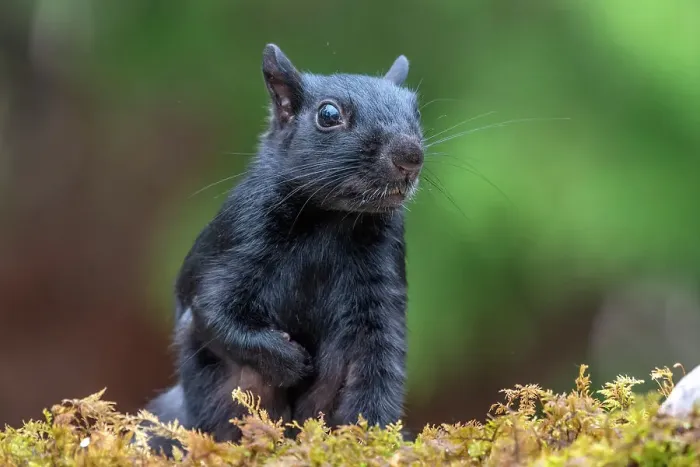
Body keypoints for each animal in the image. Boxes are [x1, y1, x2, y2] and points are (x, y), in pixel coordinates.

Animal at [144, 43, 424, 455]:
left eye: (416, 111)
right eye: (328, 115)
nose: (410, 156)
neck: (332, 219)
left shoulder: (381, 289)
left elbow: (378, 365)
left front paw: (373, 438)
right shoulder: (239, 238)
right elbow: (215, 311)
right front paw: (290, 361)